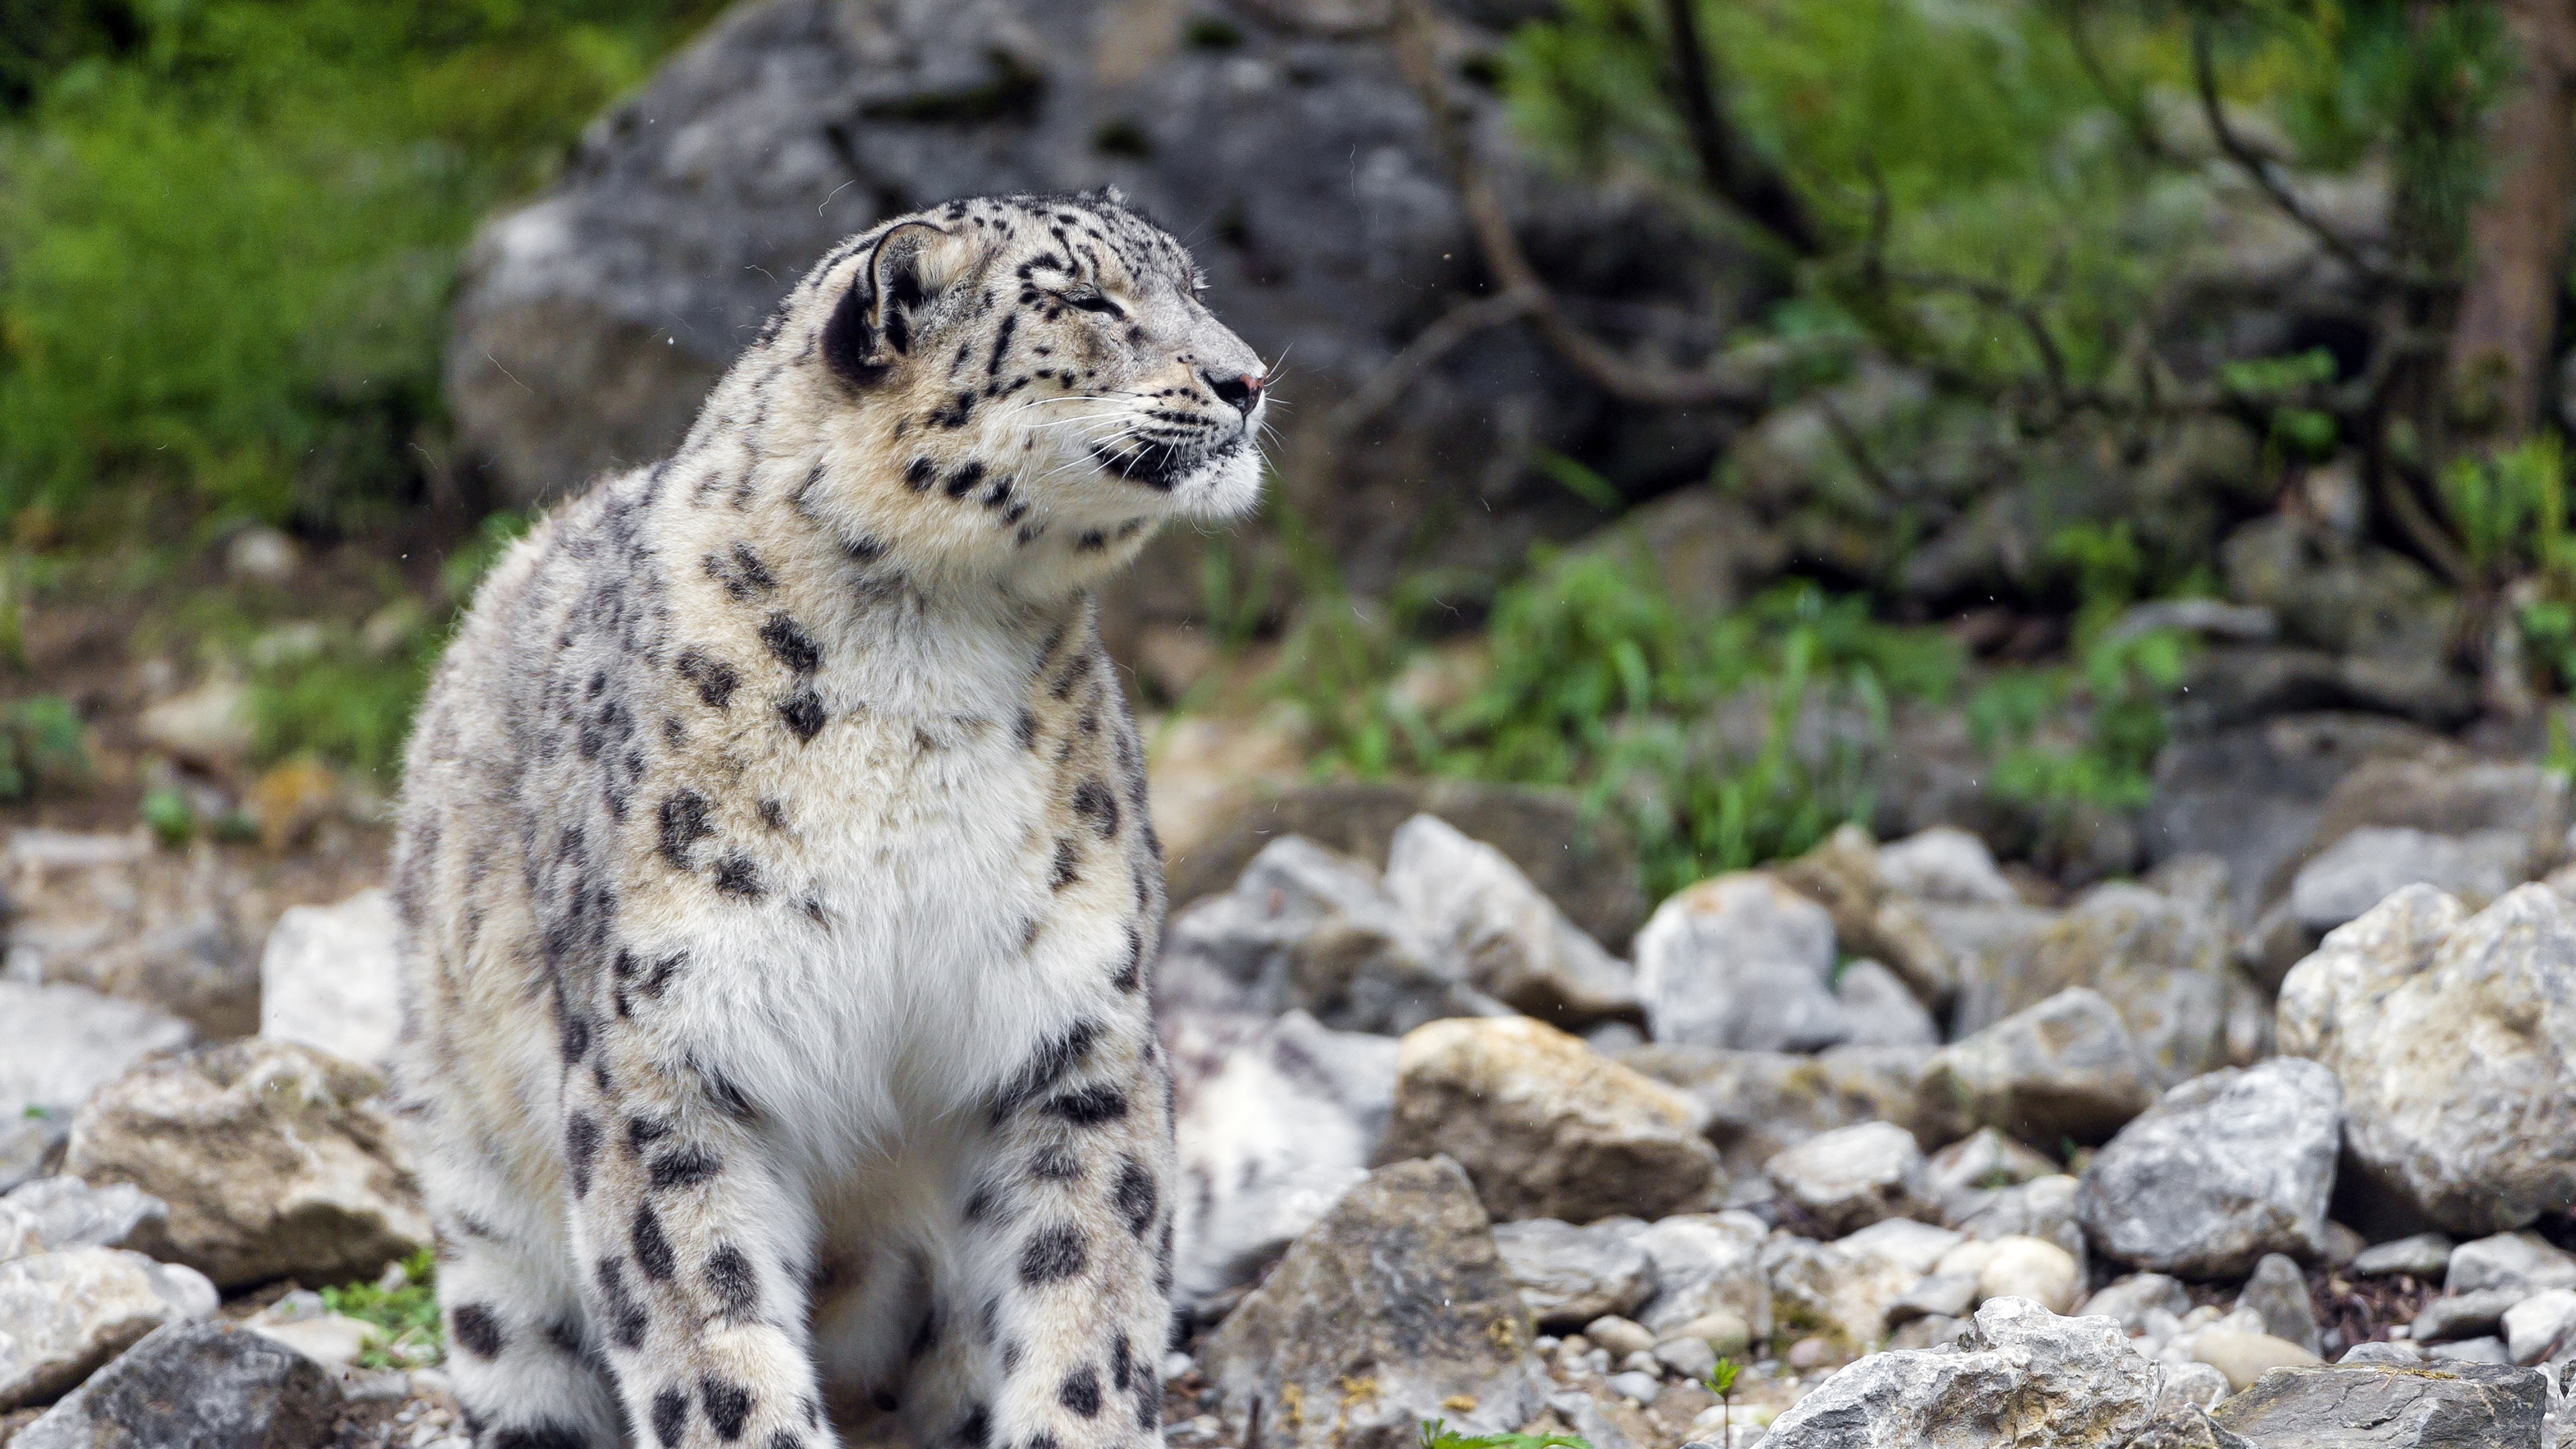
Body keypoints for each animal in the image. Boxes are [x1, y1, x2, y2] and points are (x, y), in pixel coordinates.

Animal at [387, 190, 1268, 1449]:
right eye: (1088, 299)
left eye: (1194, 289)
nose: (1249, 378)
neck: (924, 665)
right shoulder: (668, 1059)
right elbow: (708, 1329)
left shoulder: (1069, 1028)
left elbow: (1086, 1289)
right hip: (489, 1226)